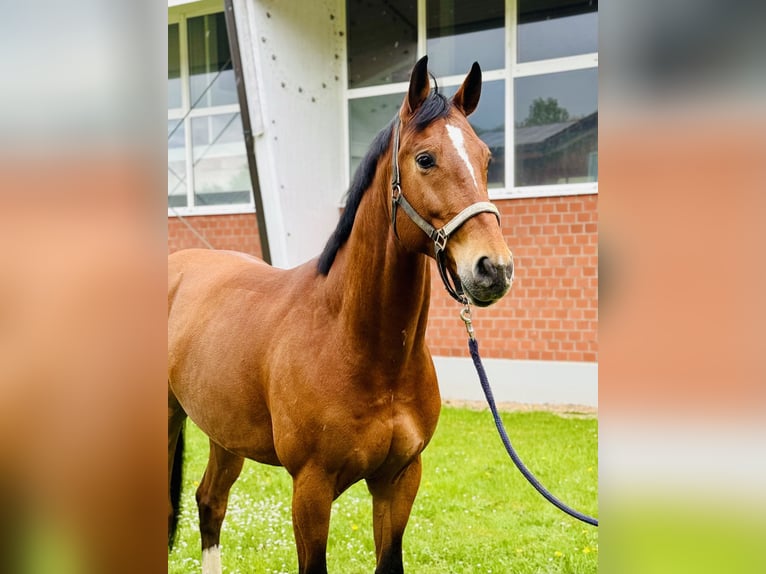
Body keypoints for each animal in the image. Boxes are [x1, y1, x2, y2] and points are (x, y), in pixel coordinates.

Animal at [169, 55, 516, 574]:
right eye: (425, 159)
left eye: (486, 159)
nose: (494, 268)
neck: (359, 346)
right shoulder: (311, 489)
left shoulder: (399, 480)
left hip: (224, 435)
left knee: (210, 503)